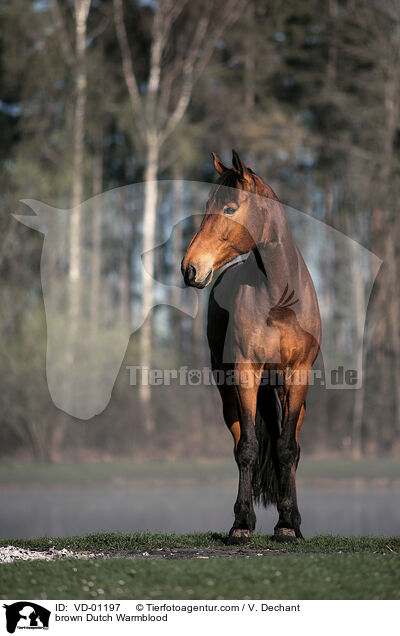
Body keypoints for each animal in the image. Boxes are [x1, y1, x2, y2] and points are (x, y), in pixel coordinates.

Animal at [183, 152, 320, 544]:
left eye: (230, 208)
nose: (190, 268)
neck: (280, 300)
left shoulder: (297, 376)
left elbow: (287, 449)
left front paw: (288, 524)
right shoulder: (246, 373)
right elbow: (248, 449)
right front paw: (242, 524)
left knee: (292, 448)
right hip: (228, 392)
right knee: (240, 443)